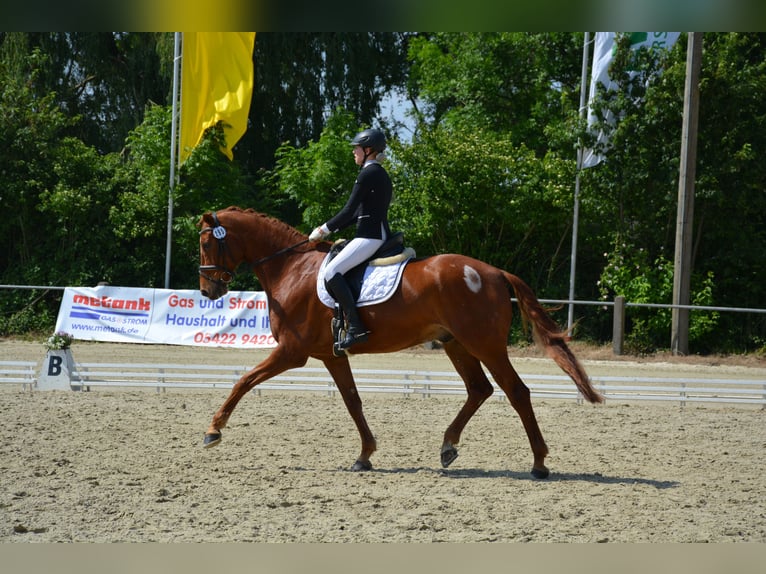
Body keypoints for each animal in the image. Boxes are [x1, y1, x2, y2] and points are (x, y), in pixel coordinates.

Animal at [200, 207, 608, 482]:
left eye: (206, 243)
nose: (208, 291)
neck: (292, 269)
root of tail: (493, 272)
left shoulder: (293, 352)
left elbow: (244, 380)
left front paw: (213, 431)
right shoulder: (329, 355)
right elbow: (352, 400)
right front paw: (365, 455)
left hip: (484, 344)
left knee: (516, 391)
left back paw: (539, 463)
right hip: (456, 344)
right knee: (480, 389)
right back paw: (448, 447)